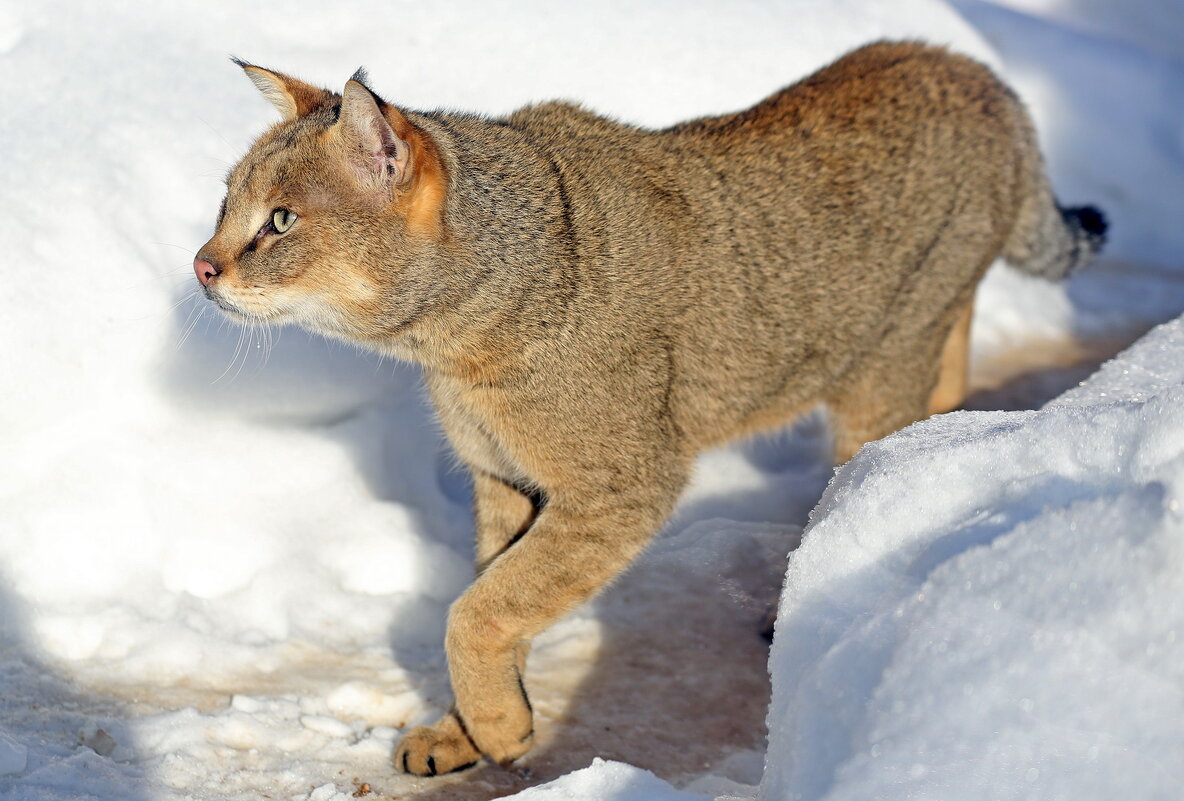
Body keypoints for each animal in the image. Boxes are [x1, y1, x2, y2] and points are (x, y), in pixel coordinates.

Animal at [196, 40, 1108, 771]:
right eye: (225, 203)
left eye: (281, 220)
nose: (202, 265)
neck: (456, 340)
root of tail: (967, 64)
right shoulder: (505, 481)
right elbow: (492, 591)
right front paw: (465, 732)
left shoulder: (620, 486)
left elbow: (480, 608)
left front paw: (498, 729)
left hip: (881, 366)